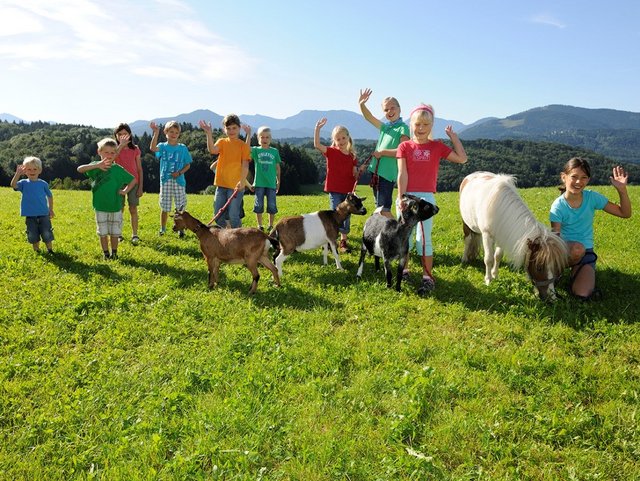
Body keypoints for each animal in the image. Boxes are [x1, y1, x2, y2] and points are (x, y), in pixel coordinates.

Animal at [458, 172, 568, 300]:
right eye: (539, 267)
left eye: (556, 267)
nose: (552, 297)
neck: (500, 207)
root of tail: (473, 174)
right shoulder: (486, 235)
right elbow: (489, 259)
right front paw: (488, 280)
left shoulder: (502, 234)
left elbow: (498, 256)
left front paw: (495, 275)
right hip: (466, 223)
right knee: (468, 240)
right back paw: (465, 258)